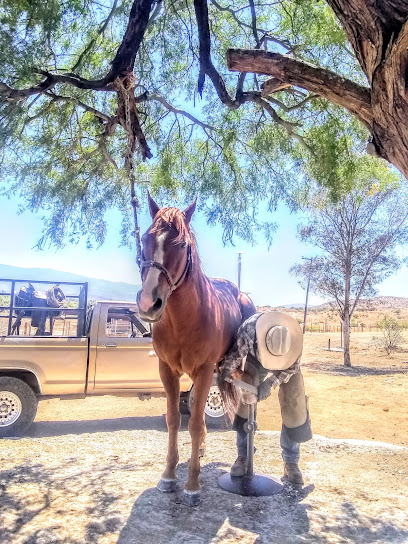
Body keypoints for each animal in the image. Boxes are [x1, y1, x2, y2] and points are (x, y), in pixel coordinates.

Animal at [136, 196, 255, 506]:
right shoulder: (167, 371)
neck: (183, 319)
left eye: (181, 245)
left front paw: (192, 485)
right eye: (145, 239)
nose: (148, 303)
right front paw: (168, 476)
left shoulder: (202, 372)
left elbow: (196, 424)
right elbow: (175, 420)